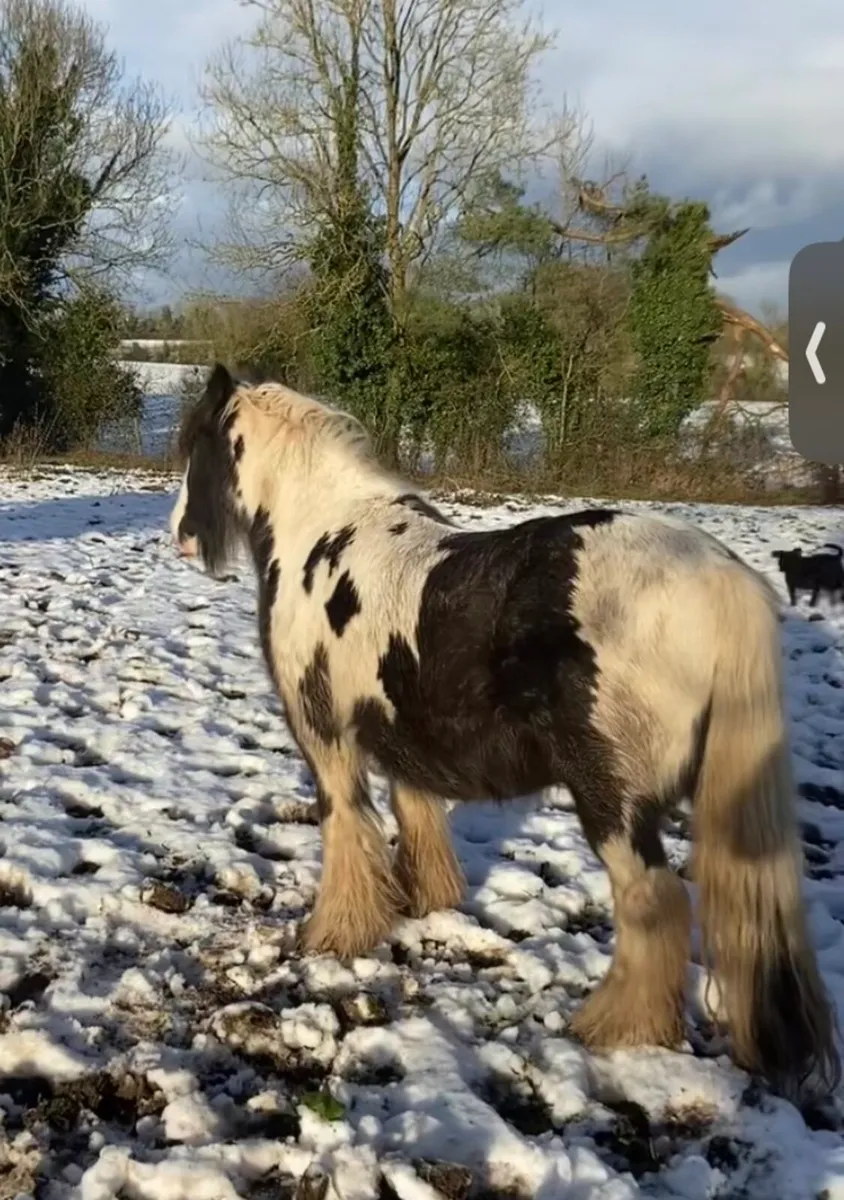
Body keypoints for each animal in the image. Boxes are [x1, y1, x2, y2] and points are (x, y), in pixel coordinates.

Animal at [169, 362, 840, 1103]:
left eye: (197, 443)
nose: (180, 536)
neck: (325, 532)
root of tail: (718, 574)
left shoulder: (327, 738)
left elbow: (346, 829)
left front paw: (334, 935)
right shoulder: (404, 733)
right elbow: (417, 816)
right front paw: (426, 904)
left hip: (612, 801)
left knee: (656, 905)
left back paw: (611, 1028)